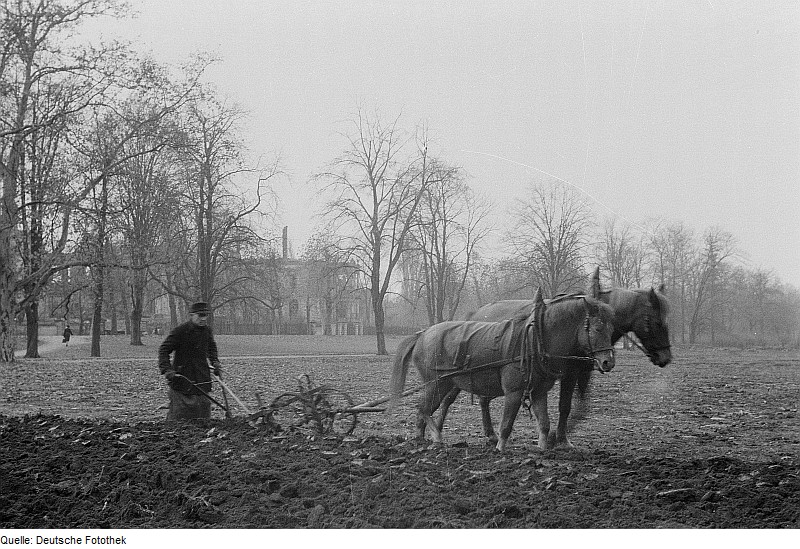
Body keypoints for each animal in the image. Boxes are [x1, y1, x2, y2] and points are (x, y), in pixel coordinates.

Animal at [388, 284, 612, 452]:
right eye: (597, 328)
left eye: (611, 328)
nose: (608, 362)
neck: (535, 340)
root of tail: (422, 334)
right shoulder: (514, 392)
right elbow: (507, 423)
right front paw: (500, 448)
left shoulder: (539, 392)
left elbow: (544, 423)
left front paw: (543, 449)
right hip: (437, 384)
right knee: (424, 408)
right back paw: (437, 437)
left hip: (443, 385)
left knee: (425, 410)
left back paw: (421, 439)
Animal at [440, 268, 672, 448]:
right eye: (655, 321)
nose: (665, 357)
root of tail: (477, 313)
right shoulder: (568, 374)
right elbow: (565, 406)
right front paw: (555, 438)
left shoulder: (579, 373)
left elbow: (572, 406)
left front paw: (559, 438)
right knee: (461, 397)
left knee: (482, 398)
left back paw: (490, 435)